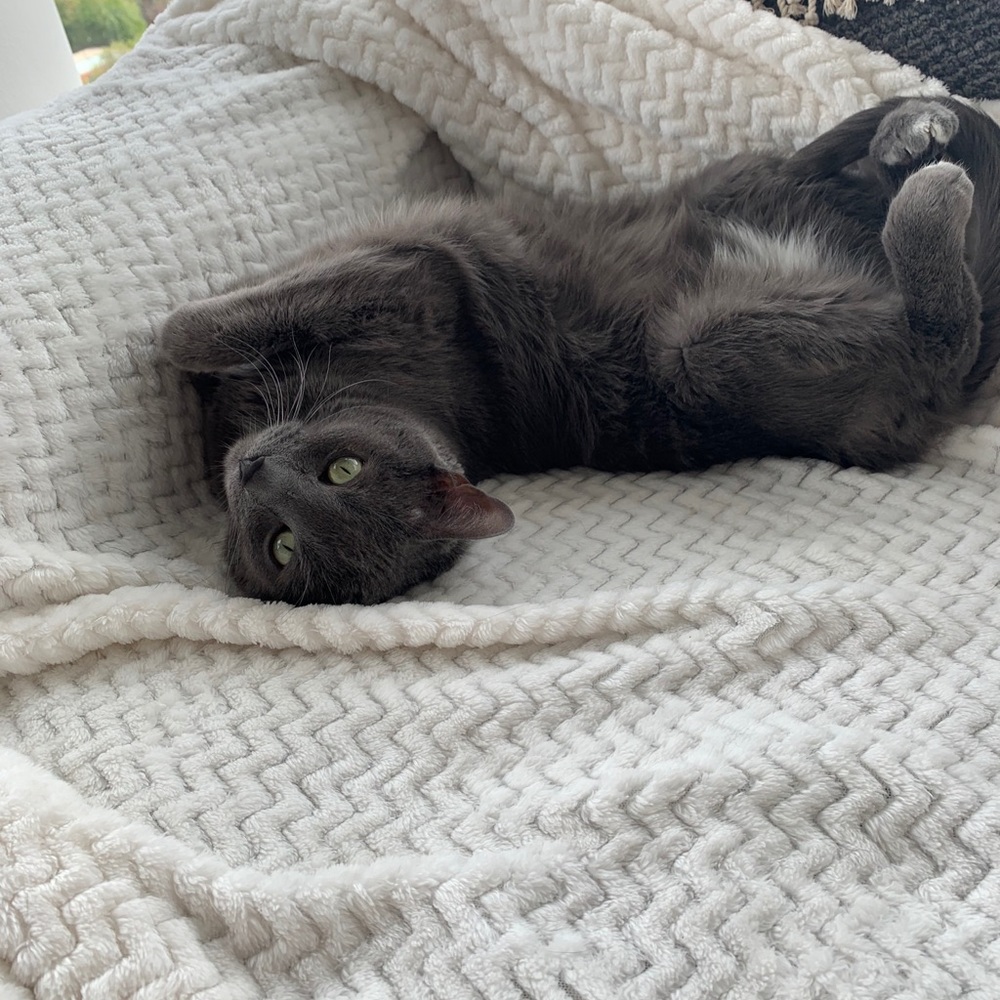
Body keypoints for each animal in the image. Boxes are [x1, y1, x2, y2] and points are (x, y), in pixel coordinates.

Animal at [160, 97, 1000, 606]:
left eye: (343, 469)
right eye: (280, 545)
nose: (252, 470)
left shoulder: (418, 270)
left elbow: (184, 328)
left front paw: (175, 335)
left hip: (699, 341)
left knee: (939, 323)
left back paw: (923, 158)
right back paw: (917, 143)